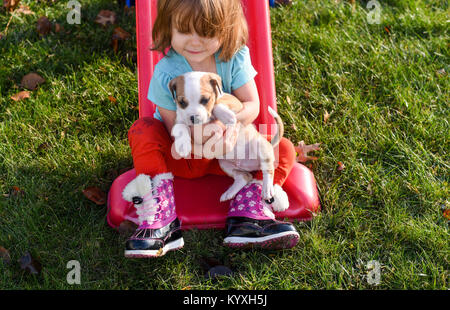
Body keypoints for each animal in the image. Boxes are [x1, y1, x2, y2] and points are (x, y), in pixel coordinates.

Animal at [168, 71, 288, 212]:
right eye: (182, 102)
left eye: (205, 100)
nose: (193, 118)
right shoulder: (179, 121)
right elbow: (180, 128)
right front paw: (182, 145)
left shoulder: (235, 103)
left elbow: (217, 104)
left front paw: (227, 116)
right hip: (225, 165)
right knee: (244, 177)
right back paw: (229, 193)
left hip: (260, 146)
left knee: (268, 170)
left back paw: (267, 189)